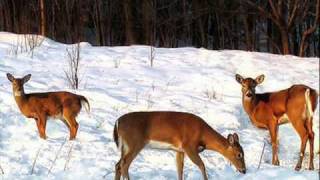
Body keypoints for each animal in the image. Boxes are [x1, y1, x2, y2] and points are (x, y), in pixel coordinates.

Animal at [114, 111, 246, 180]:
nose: (244, 170)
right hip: (135, 143)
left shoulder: (179, 150)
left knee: (118, 165)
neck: (202, 135)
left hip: (125, 146)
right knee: (124, 164)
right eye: (239, 154)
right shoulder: (189, 146)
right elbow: (202, 165)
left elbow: (180, 169)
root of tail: (118, 122)